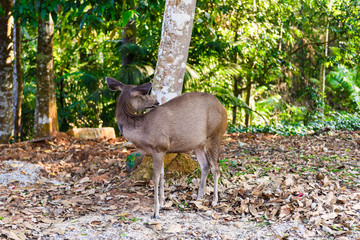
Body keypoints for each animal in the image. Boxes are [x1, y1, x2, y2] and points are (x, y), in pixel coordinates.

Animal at [105, 77, 226, 219]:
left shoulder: (159, 147)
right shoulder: (161, 150)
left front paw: (155, 212)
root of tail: (223, 107)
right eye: (144, 95)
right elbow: (162, 174)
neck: (142, 130)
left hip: (215, 134)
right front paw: (162, 203)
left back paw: (214, 201)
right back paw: (199, 198)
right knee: (205, 165)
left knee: (216, 167)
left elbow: (155, 178)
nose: (156, 101)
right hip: (198, 144)